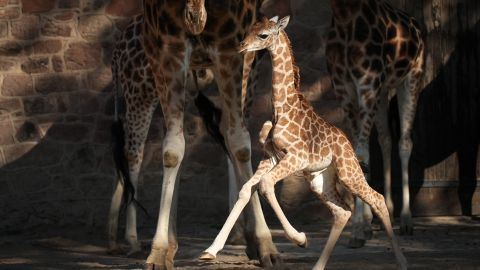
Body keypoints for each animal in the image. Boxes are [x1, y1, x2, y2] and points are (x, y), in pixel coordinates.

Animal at [135, 0, 280, 268]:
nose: (194, 18)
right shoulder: (170, 49)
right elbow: (172, 149)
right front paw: (158, 252)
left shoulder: (231, 50)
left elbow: (240, 144)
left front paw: (266, 244)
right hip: (158, 54)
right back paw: (172, 244)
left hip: (248, 63)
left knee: (232, 132)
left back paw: (250, 239)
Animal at [201, 16, 406, 270]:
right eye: (250, 29)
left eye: (263, 35)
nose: (241, 46)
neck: (281, 109)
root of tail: (347, 144)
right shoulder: (270, 157)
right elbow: (246, 189)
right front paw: (210, 251)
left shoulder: (296, 157)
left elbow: (265, 185)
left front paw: (300, 238)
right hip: (319, 179)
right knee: (342, 212)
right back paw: (318, 266)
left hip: (348, 172)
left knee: (376, 199)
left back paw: (403, 261)